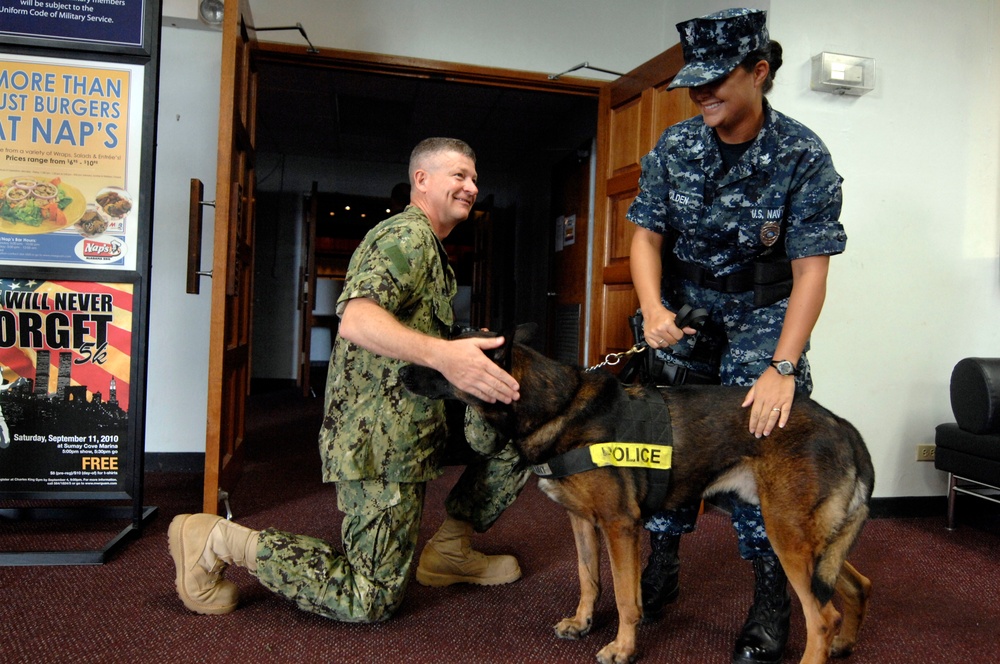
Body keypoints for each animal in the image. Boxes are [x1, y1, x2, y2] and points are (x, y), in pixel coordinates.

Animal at [402, 330, 872, 664]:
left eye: (449, 357)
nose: (402, 371)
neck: (557, 405)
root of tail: (843, 425)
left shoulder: (619, 526)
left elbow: (627, 598)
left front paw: (623, 648)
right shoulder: (582, 522)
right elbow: (589, 578)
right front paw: (583, 622)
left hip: (785, 534)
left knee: (823, 617)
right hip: (810, 542)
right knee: (857, 586)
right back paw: (845, 644)